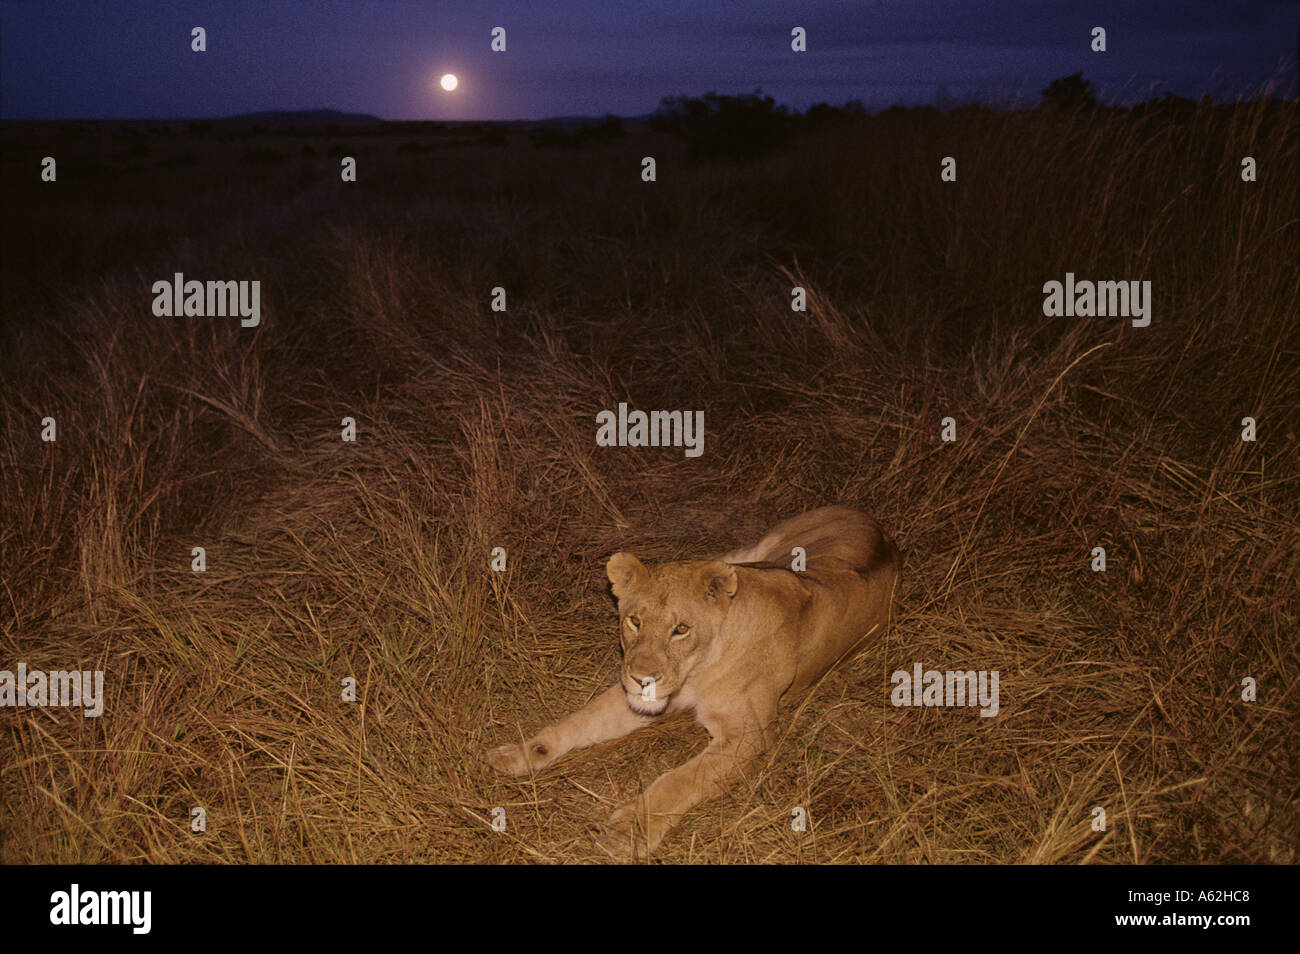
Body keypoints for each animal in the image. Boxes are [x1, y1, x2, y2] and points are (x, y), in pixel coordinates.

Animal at [484, 505, 901, 858]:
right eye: (634, 620)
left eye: (680, 629)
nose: (642, 678)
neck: (697, 669)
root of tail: (874, 522)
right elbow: (580, 721)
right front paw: (520, 753)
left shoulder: (749, 736)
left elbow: (681, 780)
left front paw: (631, 830)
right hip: (747, 554)